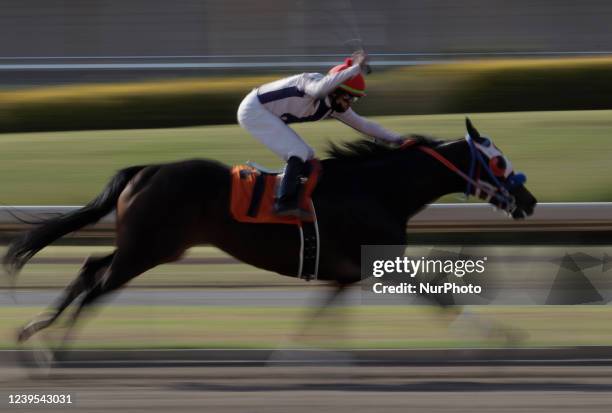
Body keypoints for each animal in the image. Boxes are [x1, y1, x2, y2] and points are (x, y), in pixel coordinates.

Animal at [2, 117, 536, 342]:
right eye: (498, 161)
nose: (529, 200)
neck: (379, 188)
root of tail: (145, 169)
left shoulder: (342, 276)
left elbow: (319, 320)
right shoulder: (381, 261)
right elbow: (440, 296)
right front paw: (500, 335)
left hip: (146, 246)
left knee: (90, 269)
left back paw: (35, 332)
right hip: (147, 249)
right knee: (97, 284)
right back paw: (51, 345)